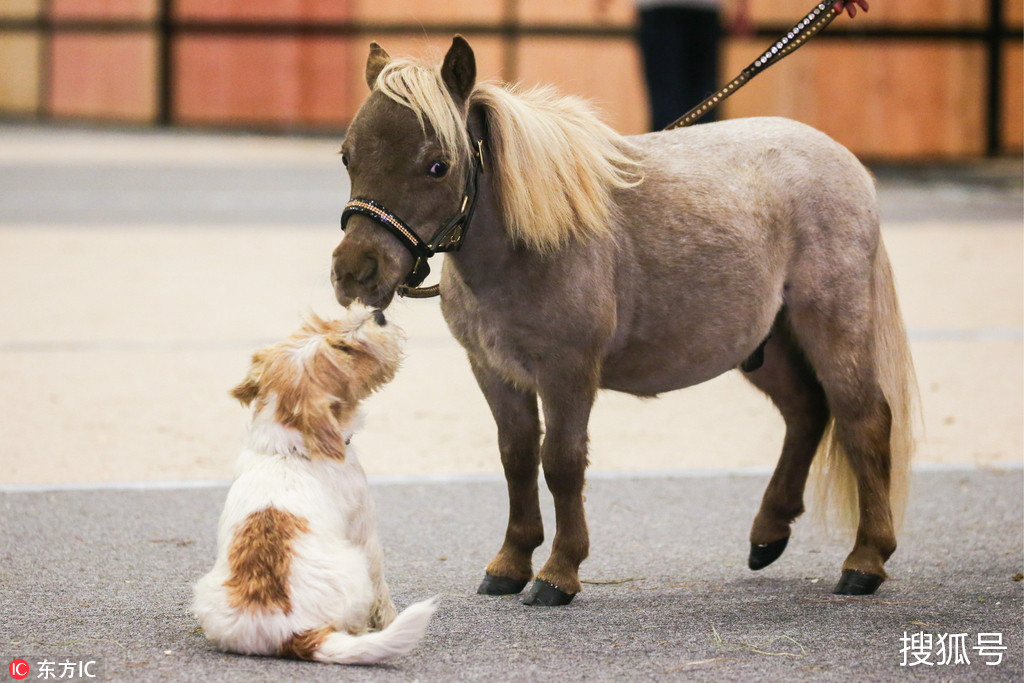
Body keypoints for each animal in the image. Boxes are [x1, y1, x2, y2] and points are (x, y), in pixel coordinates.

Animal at [192, 305, 436, 667]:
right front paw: (388, 619)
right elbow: (382, 590)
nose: (378, 314)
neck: (286, 450)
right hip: (355, 572)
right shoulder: (366, 533)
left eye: (321, 324)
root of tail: (292, 633)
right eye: (345, 350)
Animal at [331, 34, 917, 606]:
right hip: (766, 346)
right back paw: (768, 534)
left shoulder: (568, 373)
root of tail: (847, 164)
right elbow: (516, 457)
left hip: (834, 325)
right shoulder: (494, 371)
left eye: (437, 165)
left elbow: (561, 462)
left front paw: (558, 573)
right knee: (806, 412)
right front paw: (510, 563)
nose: (355, 271)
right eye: (347, 157)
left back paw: (865, 560)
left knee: (864, 420)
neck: (530, 242)